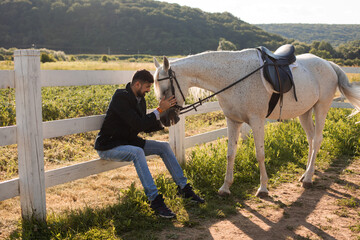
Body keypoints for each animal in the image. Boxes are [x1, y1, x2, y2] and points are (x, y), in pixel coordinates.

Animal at [153, 48, 360, 197]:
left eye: (166, 89)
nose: (164, 119)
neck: (234, 77)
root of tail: (328, 64)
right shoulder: (233, 121)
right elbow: (230, 154)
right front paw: (225, 188)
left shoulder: (257, 121)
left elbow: (260, 154)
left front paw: (263, 188)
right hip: (305, 112)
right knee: (310, 139)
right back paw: (306, 174)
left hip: (321, 107)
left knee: (317, 140)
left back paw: (309, 178)